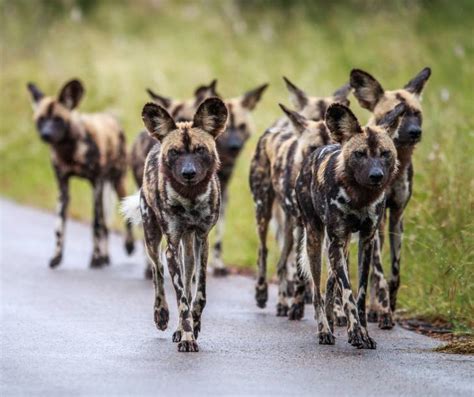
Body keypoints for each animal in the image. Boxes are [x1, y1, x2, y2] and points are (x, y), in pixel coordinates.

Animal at [26, 79, 134, 268]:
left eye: (58, 119)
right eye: (41, 119)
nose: (46, 134)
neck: (69, 150)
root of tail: (112, 119)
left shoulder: (96, 184)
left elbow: (95, 224)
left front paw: (95, 259)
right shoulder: (63, 188)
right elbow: (59, 226)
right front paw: (57, 257)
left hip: (117, 183)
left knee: (116, 219)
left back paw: (126, 247)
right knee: (105, 224)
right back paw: (105, 256)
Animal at [121, 97, 227, 352]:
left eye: (200, 150)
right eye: (175, 152)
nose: (188, 173)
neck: (190, 198)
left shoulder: (202, 240)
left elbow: (197, 295)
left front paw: (192, 327)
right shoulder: (171, 246)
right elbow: (181, 300)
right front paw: (187, 336)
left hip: (188, 248)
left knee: (188, 281)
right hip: (153, 239)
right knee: (157, 272)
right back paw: (161, 315)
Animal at [250, 79, 350, 318]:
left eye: (336, 145)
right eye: (314, 146)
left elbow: (334, 276)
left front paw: (338, 312)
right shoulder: (305, 225)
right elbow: (301, 272)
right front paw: (297, 305)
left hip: (288, 225)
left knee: (281, 262)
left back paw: (282, 302)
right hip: (264, 212)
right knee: (264, 251)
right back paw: (264, 293)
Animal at [296, 101, 404, 346]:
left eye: (385, 154)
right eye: (359, 154)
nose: (376, 175)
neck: (360, 197)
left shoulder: (366, 241)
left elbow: (360, 294)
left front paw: (363, 332)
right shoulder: (336, 241)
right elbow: (347, 292)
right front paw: (355, 333)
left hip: (341, 247)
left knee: (329, 284)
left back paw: (331, 323)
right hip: (317, 240)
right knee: (316, 290)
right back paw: (324, 331)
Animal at [350, 67, 432, 322]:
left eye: (417, 114)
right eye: (395, 114)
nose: (415, 132)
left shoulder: (396, 216)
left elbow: (394, 273)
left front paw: (391, 308)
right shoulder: (375, 220)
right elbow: (378, 272)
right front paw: (383, 308)